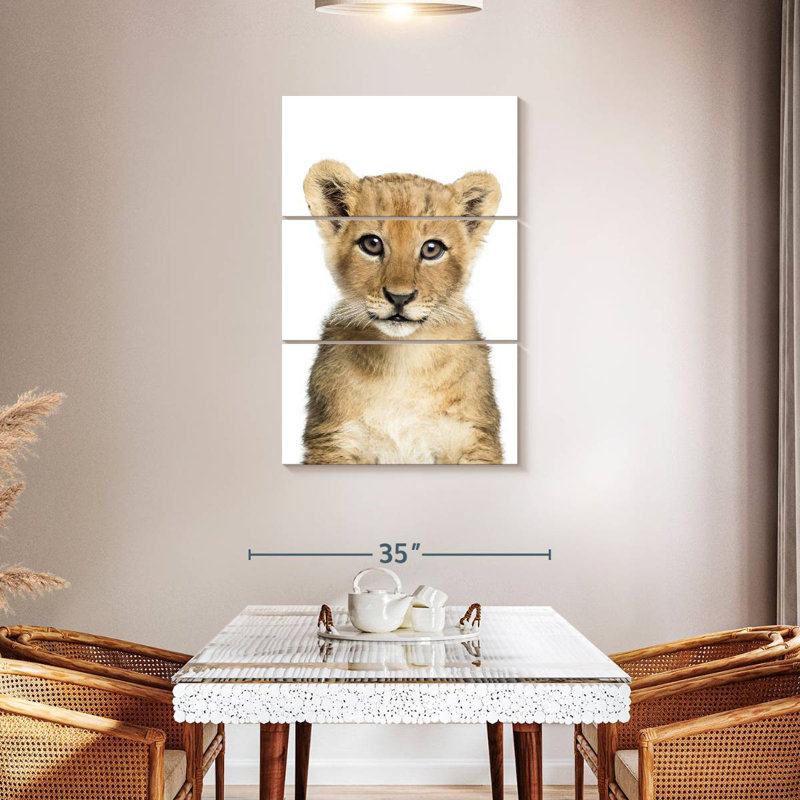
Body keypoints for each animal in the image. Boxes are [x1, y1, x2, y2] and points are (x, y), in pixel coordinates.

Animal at [300, 161, 504, 465]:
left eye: (432, 249)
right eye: (372, 244)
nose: (400, 297)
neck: (403, 359)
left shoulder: (472, 438)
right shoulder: (334, 440)